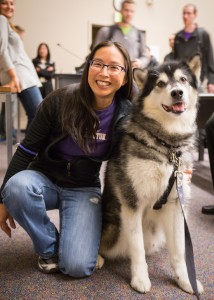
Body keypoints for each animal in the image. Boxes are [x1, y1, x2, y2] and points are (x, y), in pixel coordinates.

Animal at [97, 55, 204, 296]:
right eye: (161, 84)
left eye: (183, 80)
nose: (177, 93)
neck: (168, 146)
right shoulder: (132, 202)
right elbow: (137, 249)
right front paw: (140, 278)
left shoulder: (175, 205)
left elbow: (180, 251)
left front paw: (186, 280)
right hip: (113, 228)